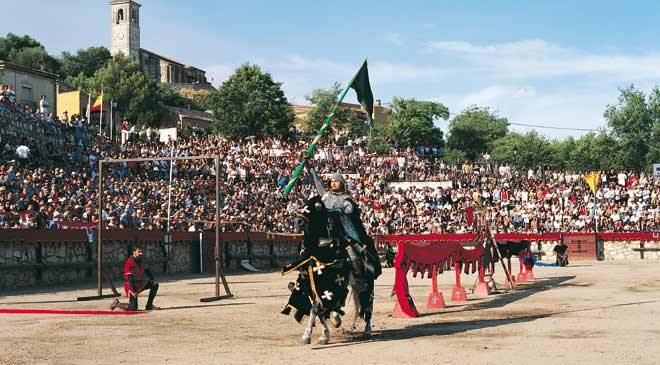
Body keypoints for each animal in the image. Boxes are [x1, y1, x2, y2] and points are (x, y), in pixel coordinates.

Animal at [280, 195, 382, 342]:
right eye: (303, 204)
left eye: (317, 206)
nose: (298, 222)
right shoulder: (313, 286)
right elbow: (317, 309)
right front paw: (321, 334)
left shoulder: (332, 286)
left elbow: (319, 308)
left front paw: (316, 333)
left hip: (367, 284)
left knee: (367, 305)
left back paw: (367, 329)